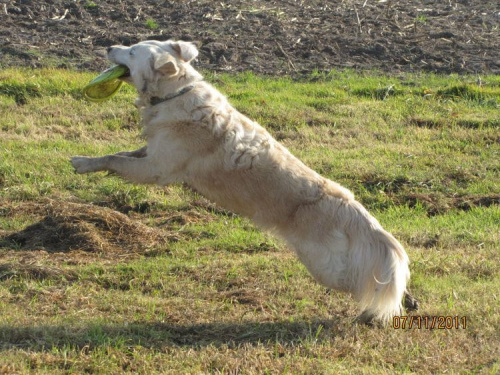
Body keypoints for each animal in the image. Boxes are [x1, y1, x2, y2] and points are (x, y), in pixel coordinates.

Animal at [69, 39, 414, 324]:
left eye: (131, 51)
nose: (108, 46)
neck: (174, 94)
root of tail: (351, 205)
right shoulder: (151, 151)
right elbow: (121, 153)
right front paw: (89, 161)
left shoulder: (157, 168)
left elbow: (116, 160)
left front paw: (82, 163)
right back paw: (406, 302)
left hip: (325, 267)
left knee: (365, 282)